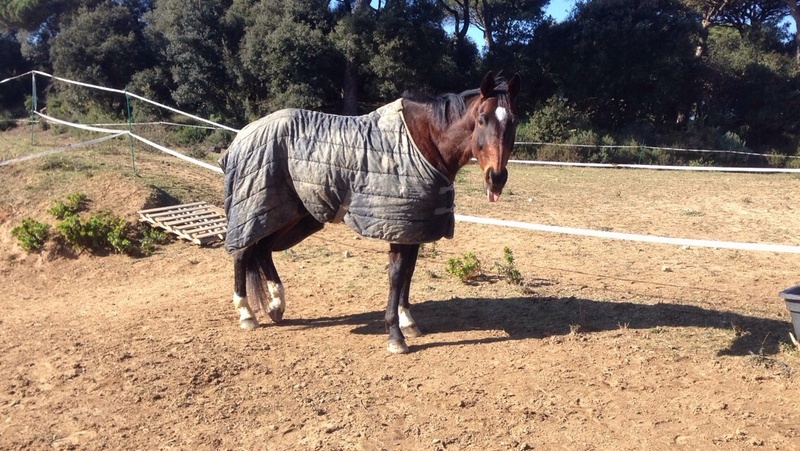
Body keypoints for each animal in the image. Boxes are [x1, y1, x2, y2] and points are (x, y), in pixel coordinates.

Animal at [219, 71, 521, 354]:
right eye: (481, 119)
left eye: (513, 121)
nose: (496, 178)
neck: (423, 142)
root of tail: (243, 134)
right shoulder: (398, 226)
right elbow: (397, 275)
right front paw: (395, 335)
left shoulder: (413, 227)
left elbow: (408, 274)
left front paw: (408, 322)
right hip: (257, 209)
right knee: (243, 252)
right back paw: (246, 314)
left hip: (291, 214)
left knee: (263, 250)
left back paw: (276, 305)